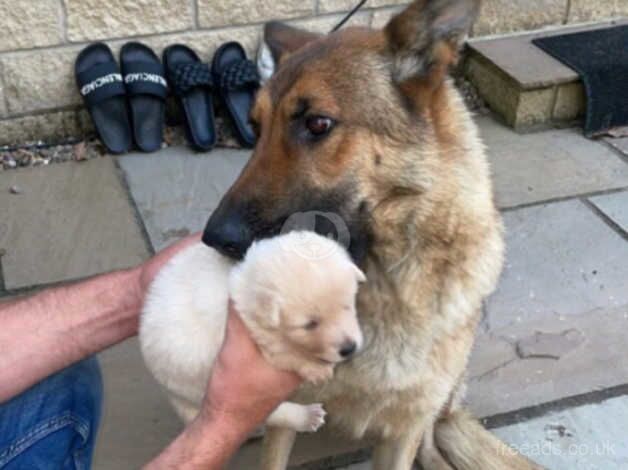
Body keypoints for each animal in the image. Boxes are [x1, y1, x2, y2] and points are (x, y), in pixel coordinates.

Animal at [137, 231, 364, 434]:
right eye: (309, 324)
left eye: (348, 305)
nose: (349, 348)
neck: (245, 286)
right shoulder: (260, 337)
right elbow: (287, 354)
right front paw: (316, 368)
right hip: (196, 382)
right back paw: (307, 416)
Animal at [204, 0, 544, 470]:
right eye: (255, 128)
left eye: (318, 124)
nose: (214, 237)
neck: (382, 279)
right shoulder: (289, 409)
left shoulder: (402, 429)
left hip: (435, 403)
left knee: (432, 439)